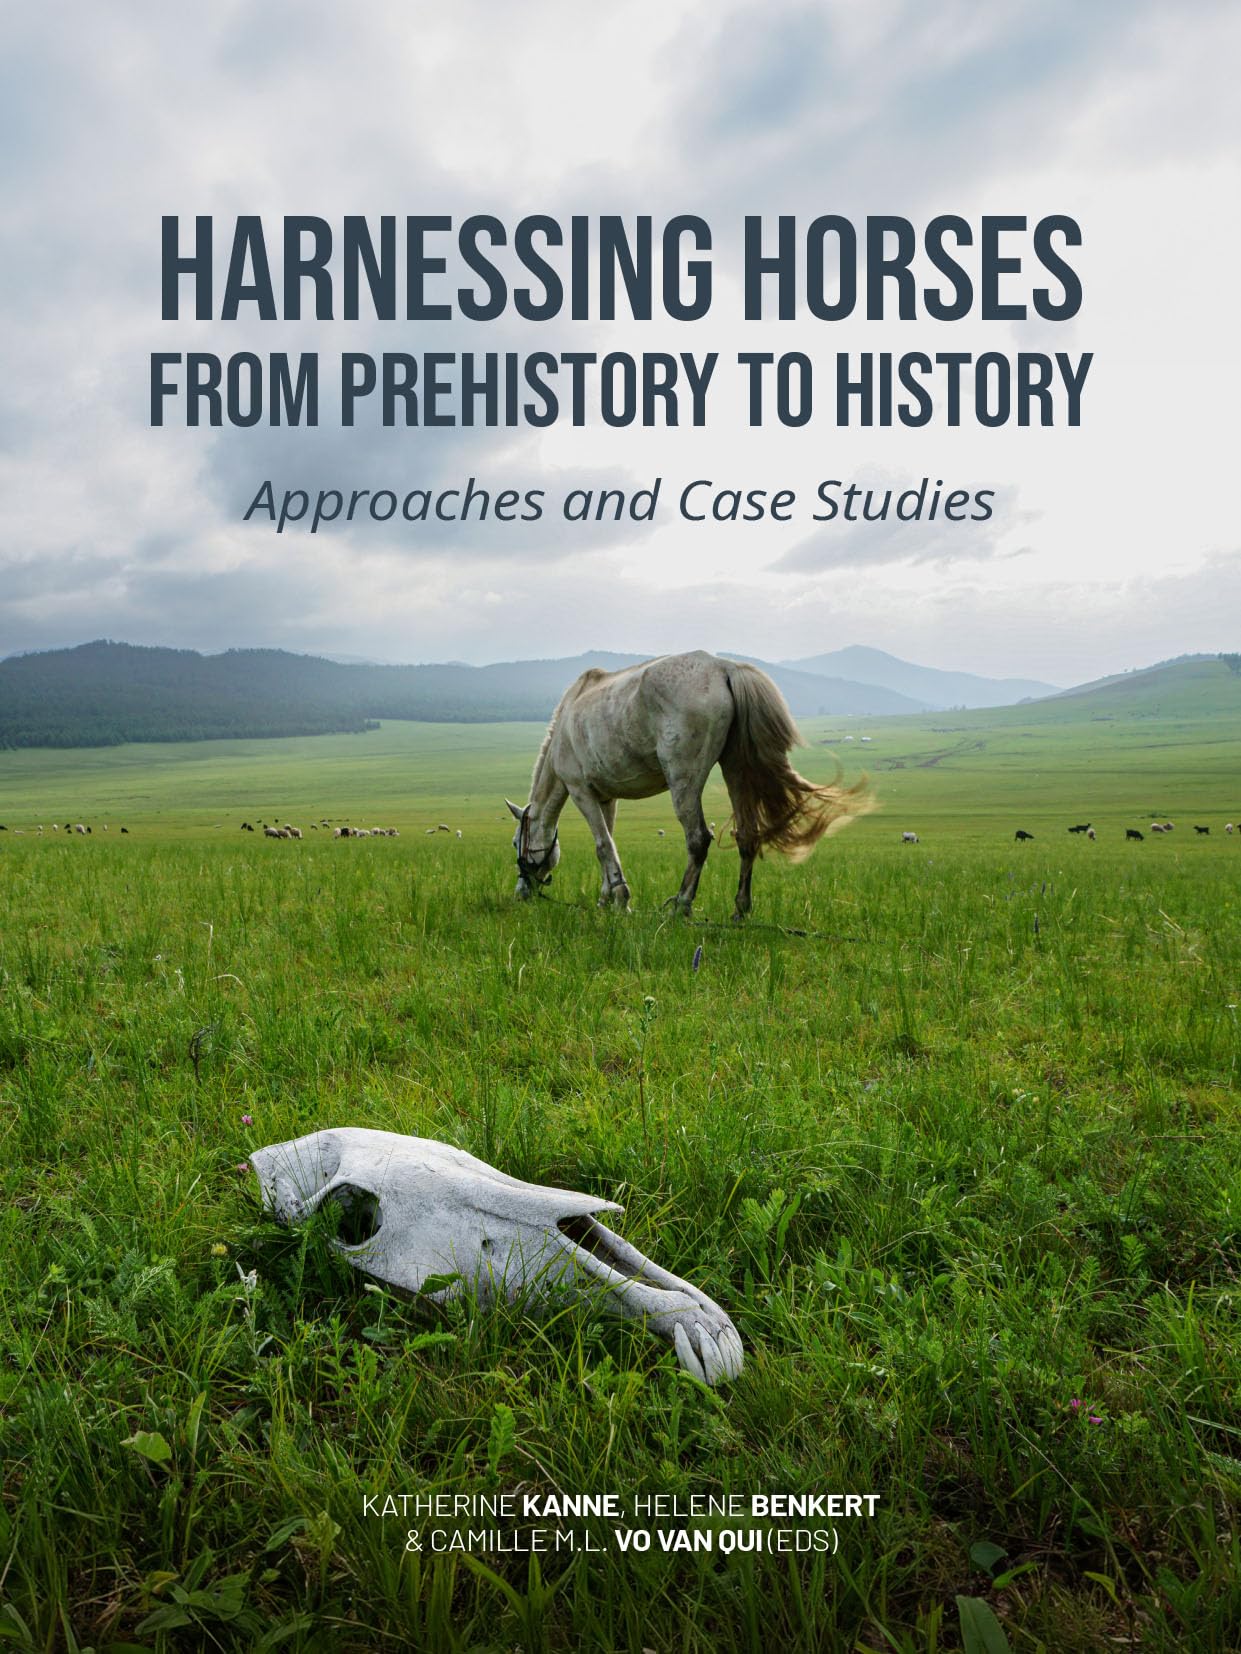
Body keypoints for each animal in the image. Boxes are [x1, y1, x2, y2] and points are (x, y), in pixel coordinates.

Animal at [506, 651, 869, 920]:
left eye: (515, 843)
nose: (521, 893)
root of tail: (724, 669)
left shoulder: (581, 791)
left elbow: (603, 845)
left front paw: (621, 900)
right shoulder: (606, 799)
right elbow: (608, 843)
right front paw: (605, 899)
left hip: (684, 780)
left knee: (698, 839)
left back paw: (680, 905)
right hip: (736, 769)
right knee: (747, 836)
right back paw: (739, 911)